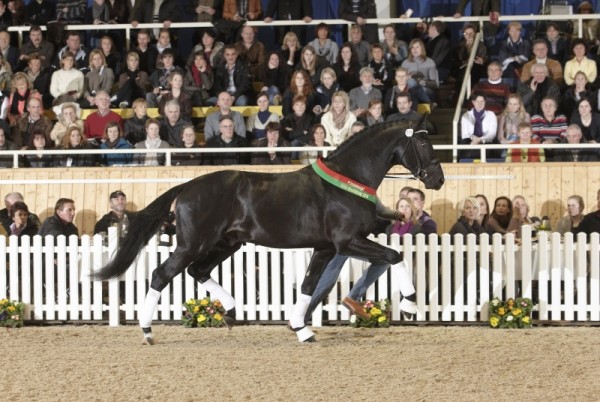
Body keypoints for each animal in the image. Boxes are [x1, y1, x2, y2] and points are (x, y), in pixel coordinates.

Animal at [94, 119, 440, 342]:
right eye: (423, 142)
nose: (437, 178)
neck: (347, 180)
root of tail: (188, 186)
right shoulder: (346, 242)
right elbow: (394, 256)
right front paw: (409, 305)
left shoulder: (326, 248)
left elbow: (309, 285)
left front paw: (301, 328)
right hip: (193, 244)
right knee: (163, 274)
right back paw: (147, 330)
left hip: (227, 244)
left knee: (198, 271)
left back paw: (231, 311)